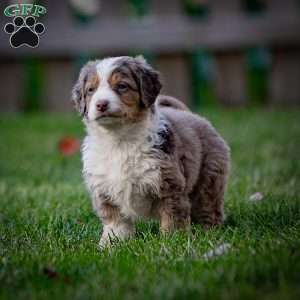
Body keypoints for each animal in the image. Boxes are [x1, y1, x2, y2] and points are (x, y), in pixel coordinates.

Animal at [72, 55, 230, 247]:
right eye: (90, 90)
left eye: (122, 86)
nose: (101, 104)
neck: (119, 140)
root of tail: (194, 116)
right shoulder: (103, 188)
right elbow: (115, 220)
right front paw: (111, 244)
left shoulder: (169, 185)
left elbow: (172, 217)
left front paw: (173, 241)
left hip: (210, 176)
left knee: (209, 206)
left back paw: (209, 233)